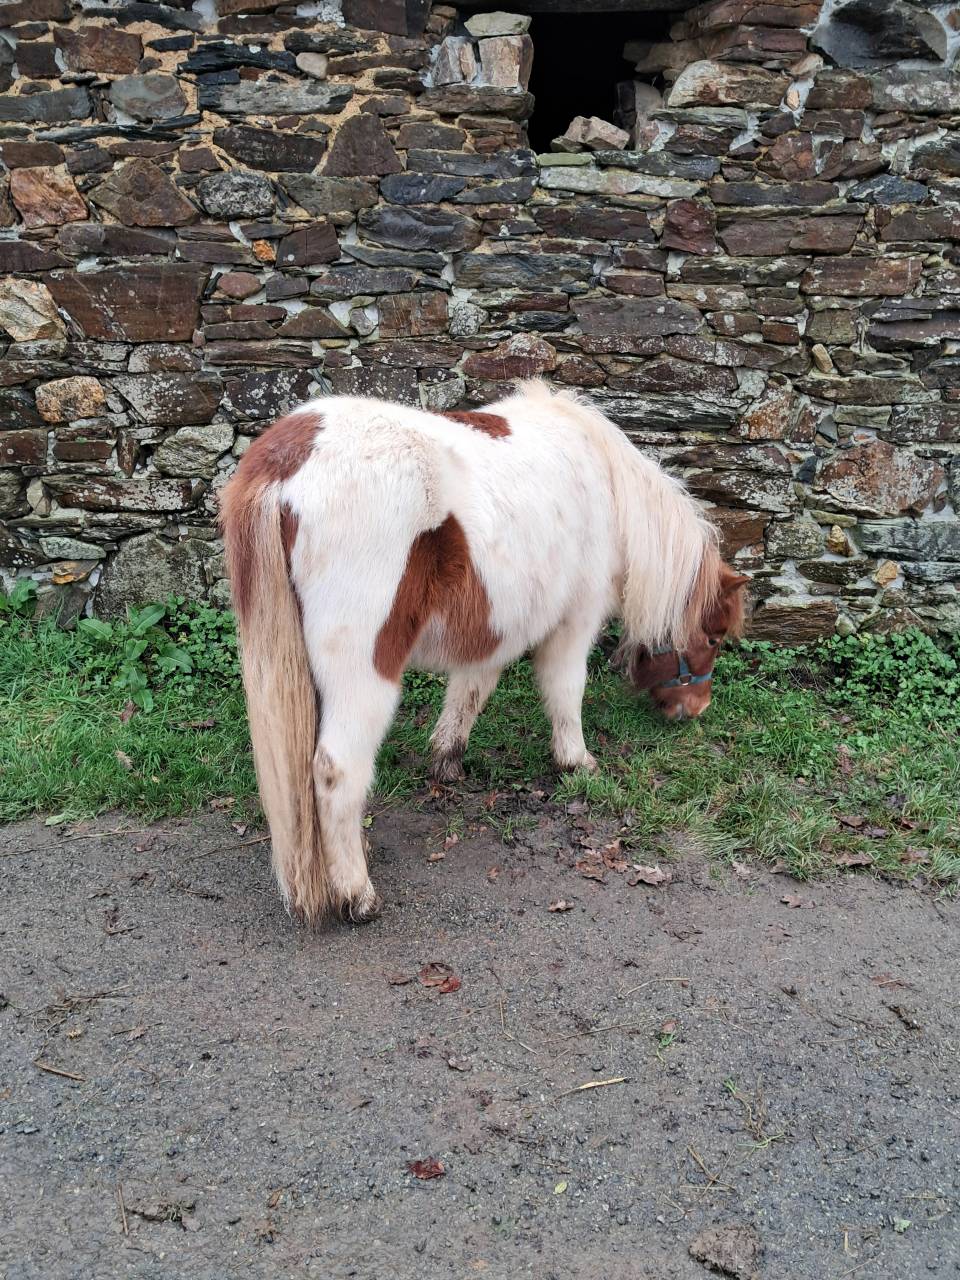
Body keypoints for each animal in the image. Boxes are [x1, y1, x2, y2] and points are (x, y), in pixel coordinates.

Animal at [220, 380, 748, 925]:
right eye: (714, 638)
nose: (696, 709)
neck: (607, 486)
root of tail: (288, 461)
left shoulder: (496, 632)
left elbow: (469, 692)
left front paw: (446, 760)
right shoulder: (573, 624)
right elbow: (565, 690)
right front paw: (576, 761)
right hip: (362, 673)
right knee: (336, 770)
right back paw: (357, 895)